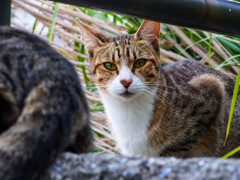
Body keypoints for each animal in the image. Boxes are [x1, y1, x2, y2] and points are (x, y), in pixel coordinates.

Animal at [78, 20, 240, 158]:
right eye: (109, 65)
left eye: (140, 63)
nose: (126, 81)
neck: (127, 110)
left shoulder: (211, 88)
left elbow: (177, 147)